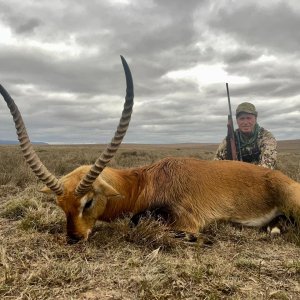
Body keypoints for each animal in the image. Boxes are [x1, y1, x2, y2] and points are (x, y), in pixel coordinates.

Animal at [0, 56, 300, 244]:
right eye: (61, 205)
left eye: (88, 202)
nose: (74, 238)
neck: (145, 180)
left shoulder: (186, 219)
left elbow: (138, 221)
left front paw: (201, 239)